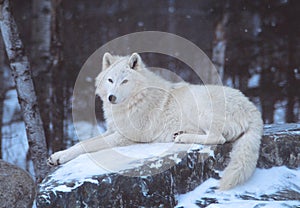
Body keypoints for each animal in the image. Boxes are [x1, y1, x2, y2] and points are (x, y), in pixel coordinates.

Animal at [48, 52, 262, 190]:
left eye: (124, 81)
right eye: (110, 80)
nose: (111, 97)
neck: (135, 100)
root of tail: (253, 109)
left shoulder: (123, 137)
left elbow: (85, 145)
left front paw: (60, 156)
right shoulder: (112, 130)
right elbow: (82, 142)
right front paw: (57, 156)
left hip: (202, 108)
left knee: (218, 138)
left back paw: (181, 138)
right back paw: (180, 134)